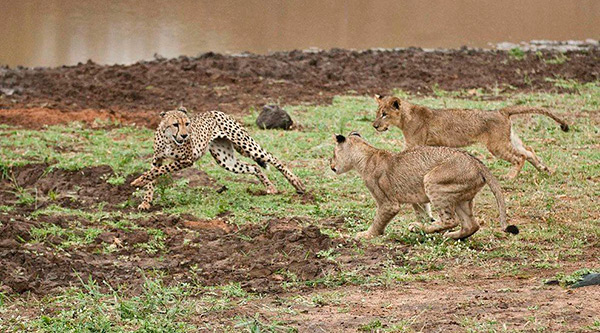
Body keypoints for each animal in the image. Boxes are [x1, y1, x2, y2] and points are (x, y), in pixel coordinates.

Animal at [131, 106, 304, 209]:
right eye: (175, 124)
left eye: (187, 123)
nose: (186, 135)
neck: (169, 139)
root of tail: (217, 111)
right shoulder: (157, 159)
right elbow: (153, 178)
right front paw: (145, 201)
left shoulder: (187, 160)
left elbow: (162, 170)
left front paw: (138, 181)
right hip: (226, 159)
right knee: (254, 166)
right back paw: (270, 187)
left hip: (246, 144)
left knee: (273, 159)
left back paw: (297, 184)